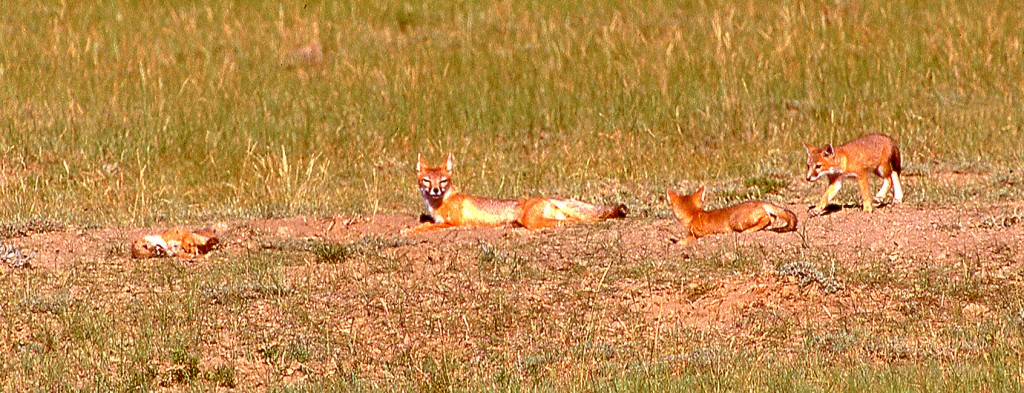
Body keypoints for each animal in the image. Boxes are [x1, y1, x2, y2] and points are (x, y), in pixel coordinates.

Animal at [403, 153, 626, 233]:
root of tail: (545, 197)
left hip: (532, 221)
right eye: (427, 181)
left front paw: (410, 230)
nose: (435, 190)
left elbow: (427, 227)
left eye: (443, 181)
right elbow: (427, 222)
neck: (438, 204)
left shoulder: (452, 223)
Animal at [663, 186, 798, 243]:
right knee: (772, 218)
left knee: (766, 219)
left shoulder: (699, 234)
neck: (695, 215)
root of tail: (761, 202)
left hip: (736, 223)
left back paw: (749, 231)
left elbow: (685, 240)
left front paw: (677, 243)